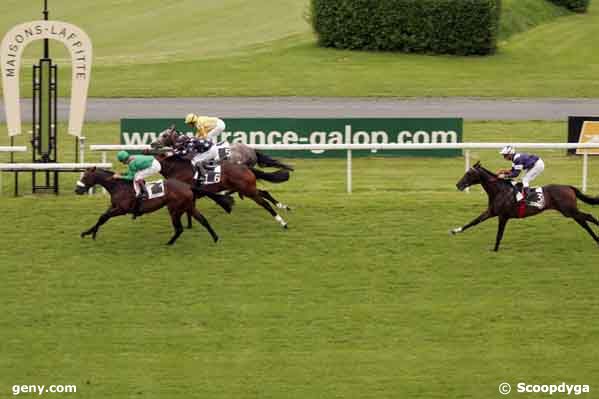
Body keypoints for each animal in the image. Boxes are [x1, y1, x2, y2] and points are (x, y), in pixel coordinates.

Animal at [74, 167, 219, 245]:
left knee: (179, 229)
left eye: (85, 177)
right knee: (203, 220)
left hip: (175, 210)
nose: (77, 190)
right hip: (189, 207)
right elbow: (102, 217)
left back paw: (169, 243)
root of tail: (188, 186)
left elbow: (103, 217)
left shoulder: (122, 209)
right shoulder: (114, 206)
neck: (118, 186)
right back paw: (215, 238)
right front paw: (88, 232)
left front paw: (92, 234)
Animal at [157, 153, 292, 228]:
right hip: (247, 188)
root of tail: (245, 167)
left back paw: (283, 222)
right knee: (264, 193)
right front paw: (189, 226)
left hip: (248, 190)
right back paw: (283, 207)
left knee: (265, 203)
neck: (178, 169)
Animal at [450, 162, 599, 250]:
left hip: (568, 211)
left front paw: (495, 249)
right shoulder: (491, 212)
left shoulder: (503, 216)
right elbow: (473, 222)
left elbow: (499, 234)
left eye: (469, 173)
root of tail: (569, 187)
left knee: (588, 217)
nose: (458, 185)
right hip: (569, 211)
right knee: (584, 221)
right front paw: (455, 230)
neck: (500, 191)